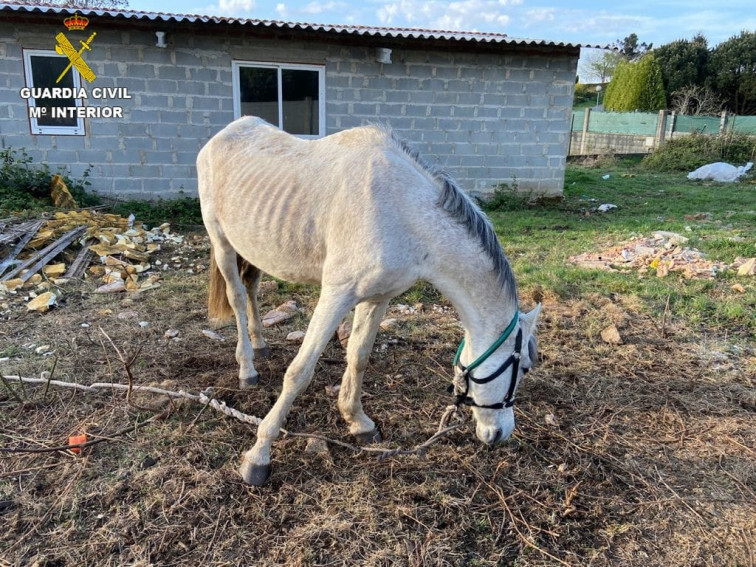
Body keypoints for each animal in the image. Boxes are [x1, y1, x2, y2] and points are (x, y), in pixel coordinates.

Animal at [195, 116, 540, 488]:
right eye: (523, 366)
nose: (501, 433)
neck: (404, 213)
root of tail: (225, 133)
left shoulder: (378, 298)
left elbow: (358, 357)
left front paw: (358, 422)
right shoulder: (336, 295)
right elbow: (300, 372)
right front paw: (259, 456)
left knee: (252, 288)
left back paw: (260, 346)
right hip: (222, 243)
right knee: (237, 297)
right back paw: (247, 368)